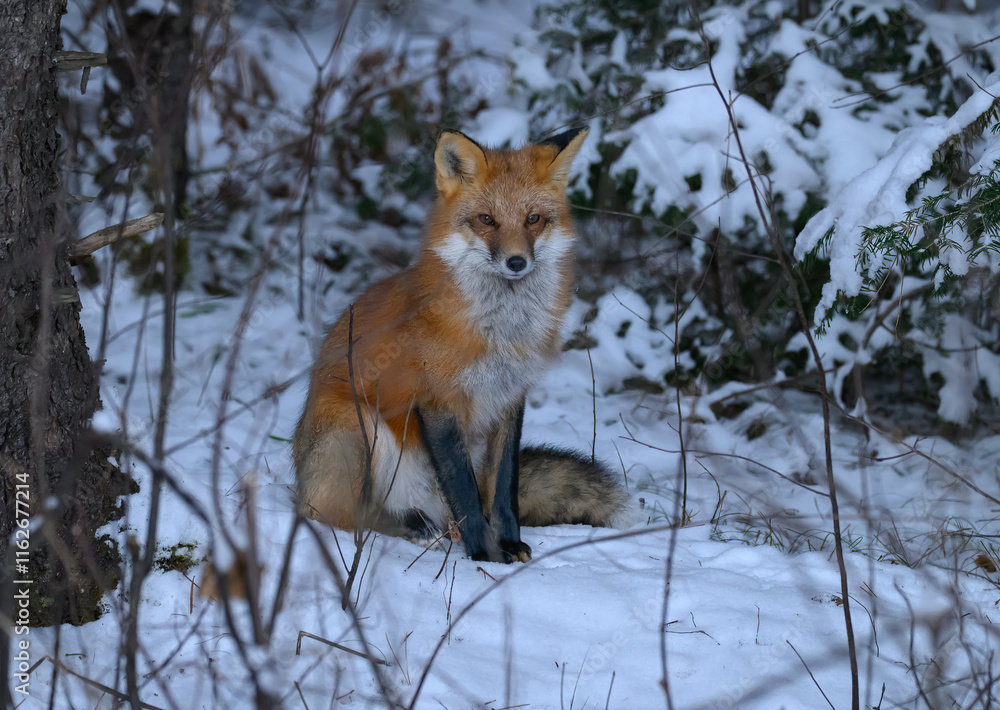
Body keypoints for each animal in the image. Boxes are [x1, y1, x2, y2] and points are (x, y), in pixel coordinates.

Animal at [293, 126, 633, 563]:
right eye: (487, 220)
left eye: (533, 219)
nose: (517, 262)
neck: (501, 335)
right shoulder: (438, 400)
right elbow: (465, 491)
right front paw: (483, 555)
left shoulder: (510, 399)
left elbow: (504, 490)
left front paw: (508, 544)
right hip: (357, 426)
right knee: (343, 515)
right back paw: (412, 527)